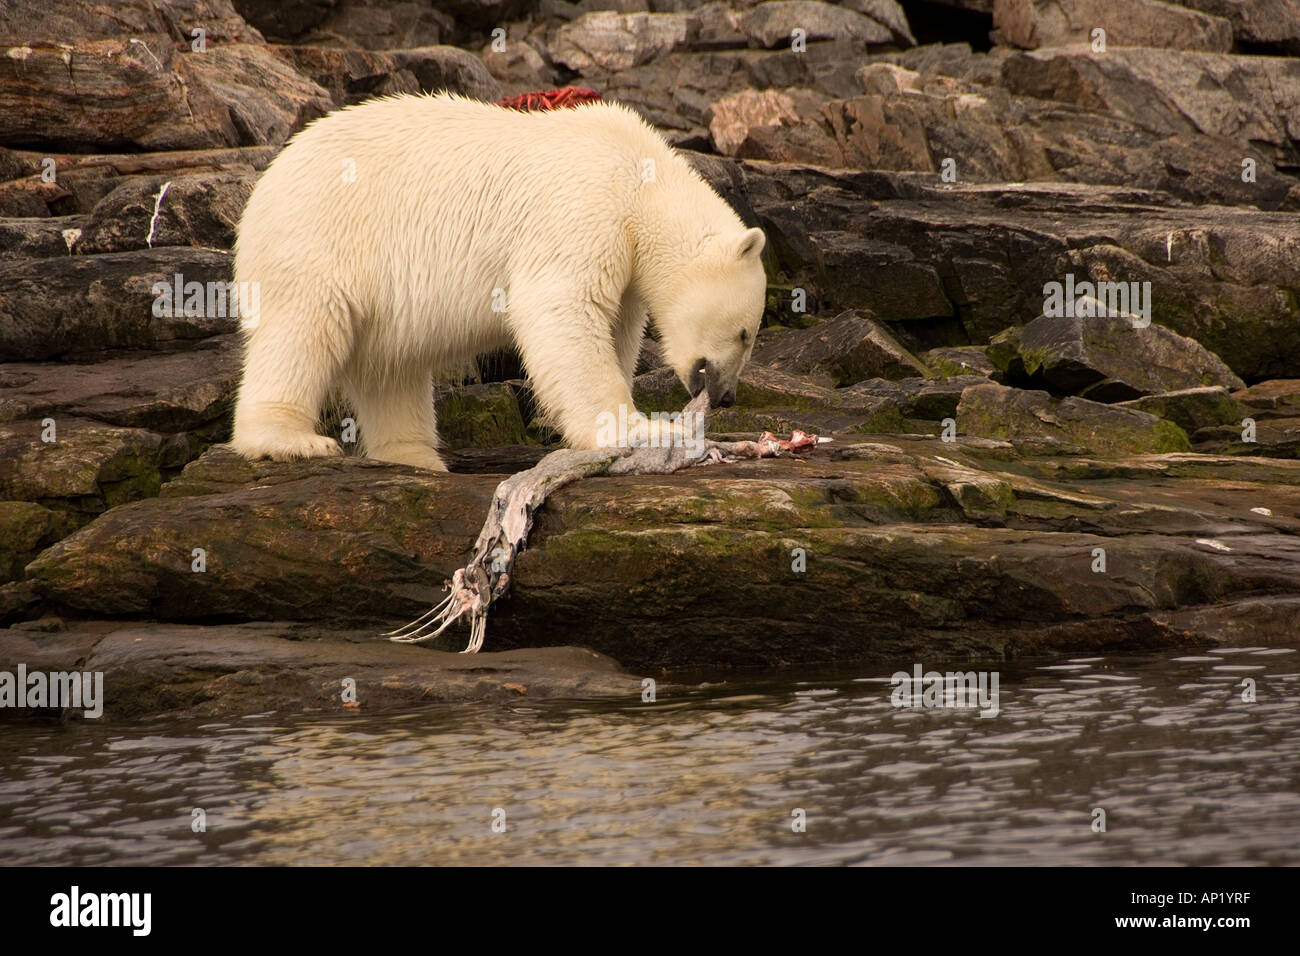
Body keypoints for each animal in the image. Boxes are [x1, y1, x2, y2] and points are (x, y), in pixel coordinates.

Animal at [230, 91, 764, 473]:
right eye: (745, 332)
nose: (727, 396)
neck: (640, 178)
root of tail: (268, 180)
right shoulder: (583, 206)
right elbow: (560, 308)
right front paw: (639, 430)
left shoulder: (625, 256)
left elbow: (617, 329)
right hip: (322, 238)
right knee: (303, 330)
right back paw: (290, 442)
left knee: (391, 366)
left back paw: (418, 459)